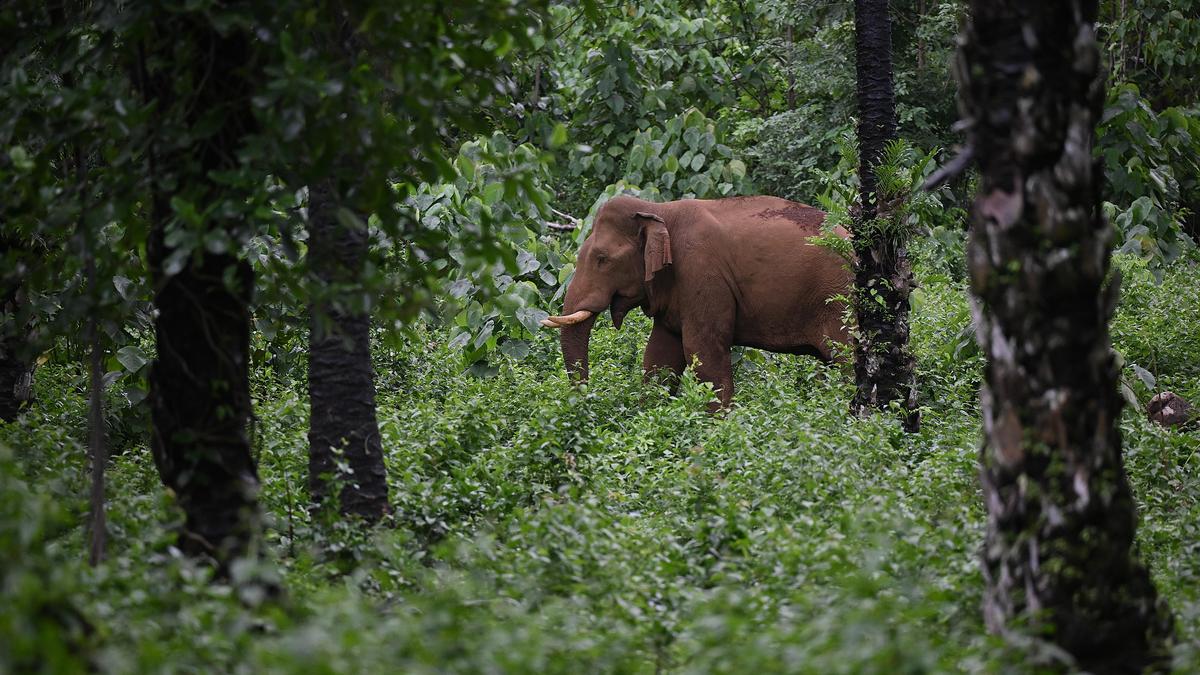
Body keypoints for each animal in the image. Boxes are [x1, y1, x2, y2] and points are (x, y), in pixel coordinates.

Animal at [540, 194, 852, 410]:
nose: (584, 400)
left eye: (602, 259)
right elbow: (660, 357)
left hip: (840, 300)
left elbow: (702, 353)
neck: (658, 210)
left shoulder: (701, 272)